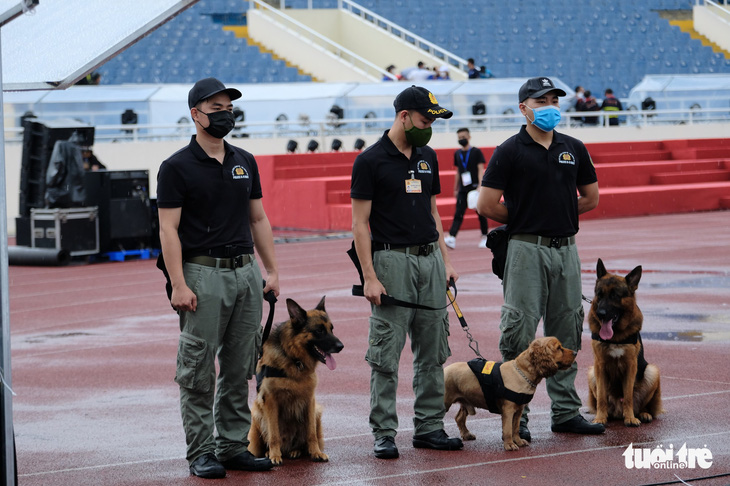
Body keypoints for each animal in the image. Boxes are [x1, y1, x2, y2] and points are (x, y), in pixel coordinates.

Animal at [247, 296, 344, 464]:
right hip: (257, 415)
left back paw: (296, 451)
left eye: (331, 329)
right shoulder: (270, 401)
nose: (341, 346)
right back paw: (268, 453)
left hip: (317, 411)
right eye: (319, 330)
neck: (294, 359)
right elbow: (274, 434)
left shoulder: (310, 401)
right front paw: (275, 455)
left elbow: (311, 433)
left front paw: (316, 452)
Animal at [444, 336, 576, 450]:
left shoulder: (519, 410)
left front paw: (518, 441)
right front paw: (510, 445)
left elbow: (515, 428)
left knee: (459, 418)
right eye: (559, 348)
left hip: (466, 400)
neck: (521, 372)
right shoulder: (508, 410)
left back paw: (467, 434)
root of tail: (445, 369)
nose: (575, 353)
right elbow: (508, 429)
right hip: (445, 402)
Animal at [584, 258, 660, 426]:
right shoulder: (599, 367)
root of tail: (617, 411)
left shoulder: (631, 366)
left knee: (640, 404)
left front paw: (630, 417)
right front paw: (600, 418)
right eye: (599, 295)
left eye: (615, 296)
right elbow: (601, 397)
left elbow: (628, 396)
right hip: (592, 373)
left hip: (652, 371)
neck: (616, 336)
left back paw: (642, 414)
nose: (600, 313)